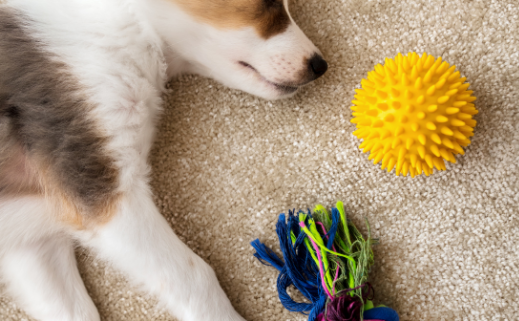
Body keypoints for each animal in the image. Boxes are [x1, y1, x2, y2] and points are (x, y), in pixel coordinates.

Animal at [0, 0, 324, 320]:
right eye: (269, 3)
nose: (320, 65)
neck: (127, 25)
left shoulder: (34, 246)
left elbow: (77, 312)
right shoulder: (104, 191)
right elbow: (195, 278)